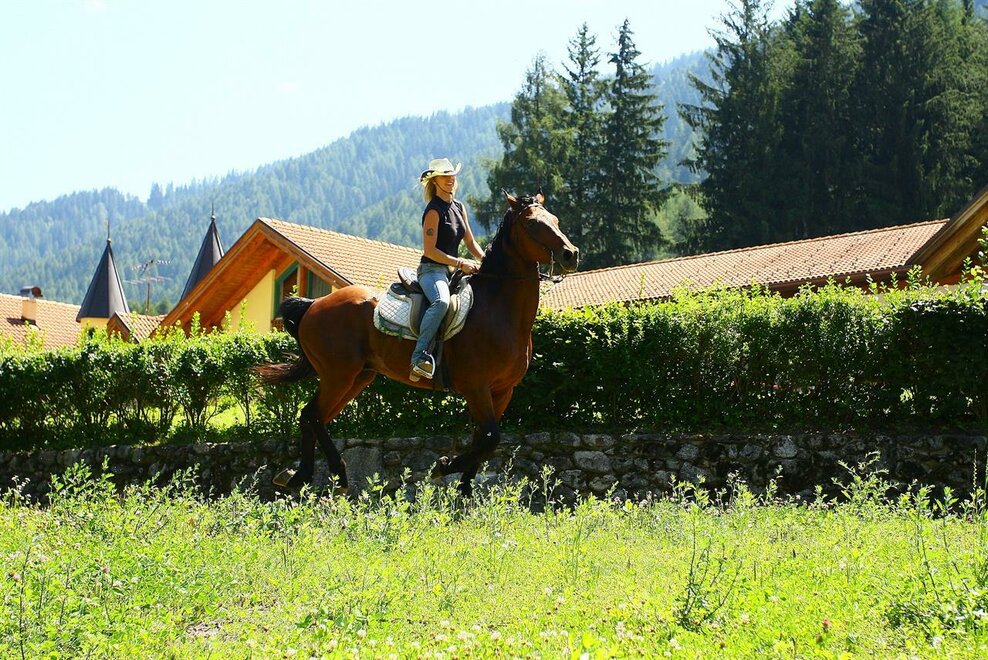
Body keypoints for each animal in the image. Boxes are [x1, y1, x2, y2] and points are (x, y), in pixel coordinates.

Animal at [255, 191, 579, 496]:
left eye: (556, 220)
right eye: (533, 223)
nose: (570, 254)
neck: (497, 309)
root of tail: (314, 304)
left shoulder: (502, 391)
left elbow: (483, 440)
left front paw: (464, 492)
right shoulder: (476, 387)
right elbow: (490, 438)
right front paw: (443, 466)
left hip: (357, 377)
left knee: (315, 418)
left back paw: (308, 476)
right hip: (338, 375)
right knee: (311, 415)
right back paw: (320, 475)